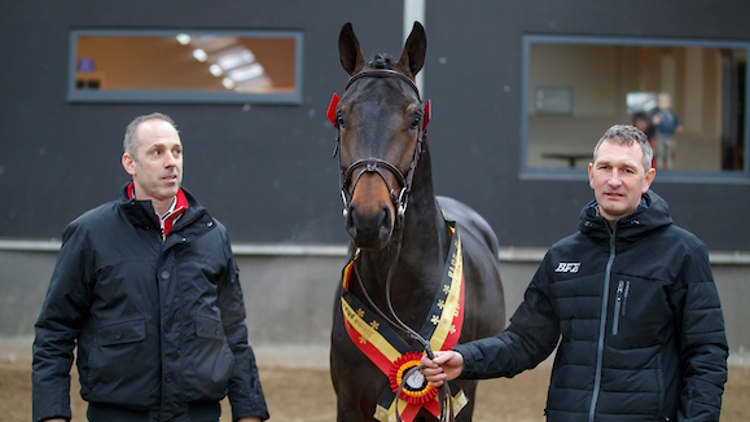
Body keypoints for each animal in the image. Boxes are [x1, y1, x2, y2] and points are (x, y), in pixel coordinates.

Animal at [328, 21, 506, 420]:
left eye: (413, 118)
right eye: (342, 117)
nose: (369, 219)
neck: (399, 290)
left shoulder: (457, 401)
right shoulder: (348, 404)